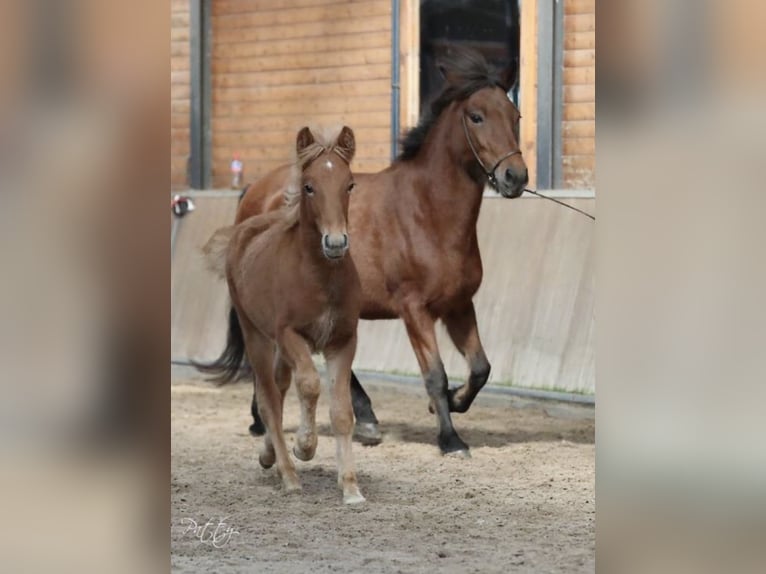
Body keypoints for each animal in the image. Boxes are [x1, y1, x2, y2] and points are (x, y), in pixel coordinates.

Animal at [199, 126, 365, 503]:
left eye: (349, 185)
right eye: (309, 186)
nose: (336, 243)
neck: (321, 276)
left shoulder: (343, 341)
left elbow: (342, 412)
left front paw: (350, 487)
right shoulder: (290, 335)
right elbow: (310, 385)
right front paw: (304, 446)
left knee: (279, 386)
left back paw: (270, 456)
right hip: (257, 337)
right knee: (269, 400)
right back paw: (288, 474)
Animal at [204, 47, 528, 457]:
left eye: (515, 116)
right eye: (477, 116)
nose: (515, 177)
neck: (428, 211)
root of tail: (256, 191)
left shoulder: (458, 306)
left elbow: (480, 369)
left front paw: (454, 402)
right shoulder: (414, 309)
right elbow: (434, 374)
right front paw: (450, 438)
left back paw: (360, 420)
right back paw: (270, 419)